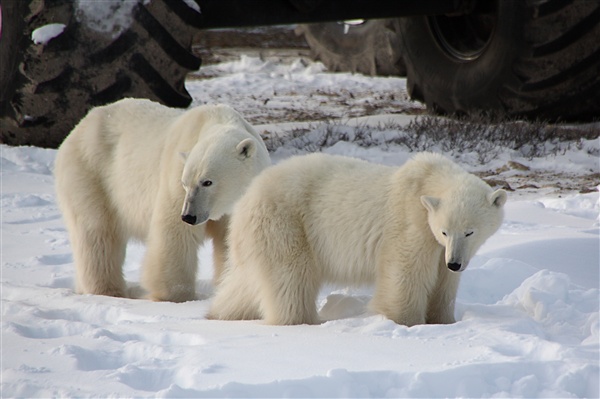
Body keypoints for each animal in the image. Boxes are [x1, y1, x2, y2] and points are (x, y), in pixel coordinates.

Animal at [55, 99, 270, 304]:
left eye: (207, 182)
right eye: (185, 183)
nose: (189, 216)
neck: (217, 120)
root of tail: (80, 126)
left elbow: (230, 241)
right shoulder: (175, 177)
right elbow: (175, 233)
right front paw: (177, 296)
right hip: (91, 172)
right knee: (97, 233)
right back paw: (107, 290)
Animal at [209, 152, 504, 326]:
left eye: (470, 231)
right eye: (445, 230)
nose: (455, 262)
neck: (427, 180)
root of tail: (246, 198)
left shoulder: (442, 248)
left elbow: (444, 285)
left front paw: (444, 321)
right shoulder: (410, 224)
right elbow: (405, 274)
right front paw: (404, 322)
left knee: (247, 282)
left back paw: (221, 313)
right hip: (287, 222)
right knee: (291, 279)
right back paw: (303, 321)